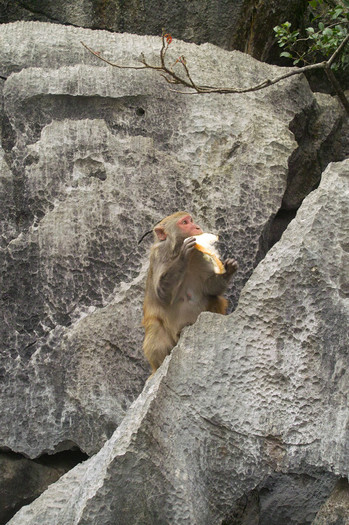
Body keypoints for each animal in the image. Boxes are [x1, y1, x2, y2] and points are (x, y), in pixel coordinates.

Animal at [141, 210, 237, 372]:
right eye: (185, 222)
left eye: (191, 220)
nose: (197, 227)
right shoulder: (158, 256)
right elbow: (162, 294)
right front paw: (183, 255)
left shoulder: (201, 255)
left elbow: (210, 287)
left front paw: (228, 269)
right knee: (155, 328)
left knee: (213, 299)